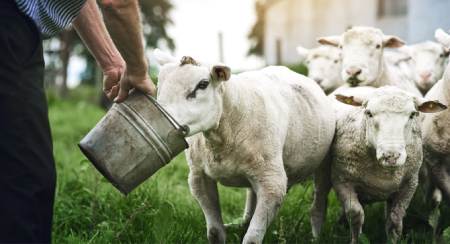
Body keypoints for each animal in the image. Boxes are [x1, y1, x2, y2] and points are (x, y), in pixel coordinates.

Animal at [153, 50, 336, 244]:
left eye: (202, 84)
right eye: (159, 84)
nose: (162, 122)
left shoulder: (273, 184)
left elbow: (252, 239)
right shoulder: (198, 177)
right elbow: (215, 233)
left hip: (324, 163)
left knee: (319, 203)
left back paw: (316, 236)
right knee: (251, 194)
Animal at [316, 85, 446, 242]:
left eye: (413, 114)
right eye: (369, 113)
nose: (391, 156)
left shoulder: (409, 185)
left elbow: (395, 222)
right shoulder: (341, 180)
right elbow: (355, 215)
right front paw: (355, 240)